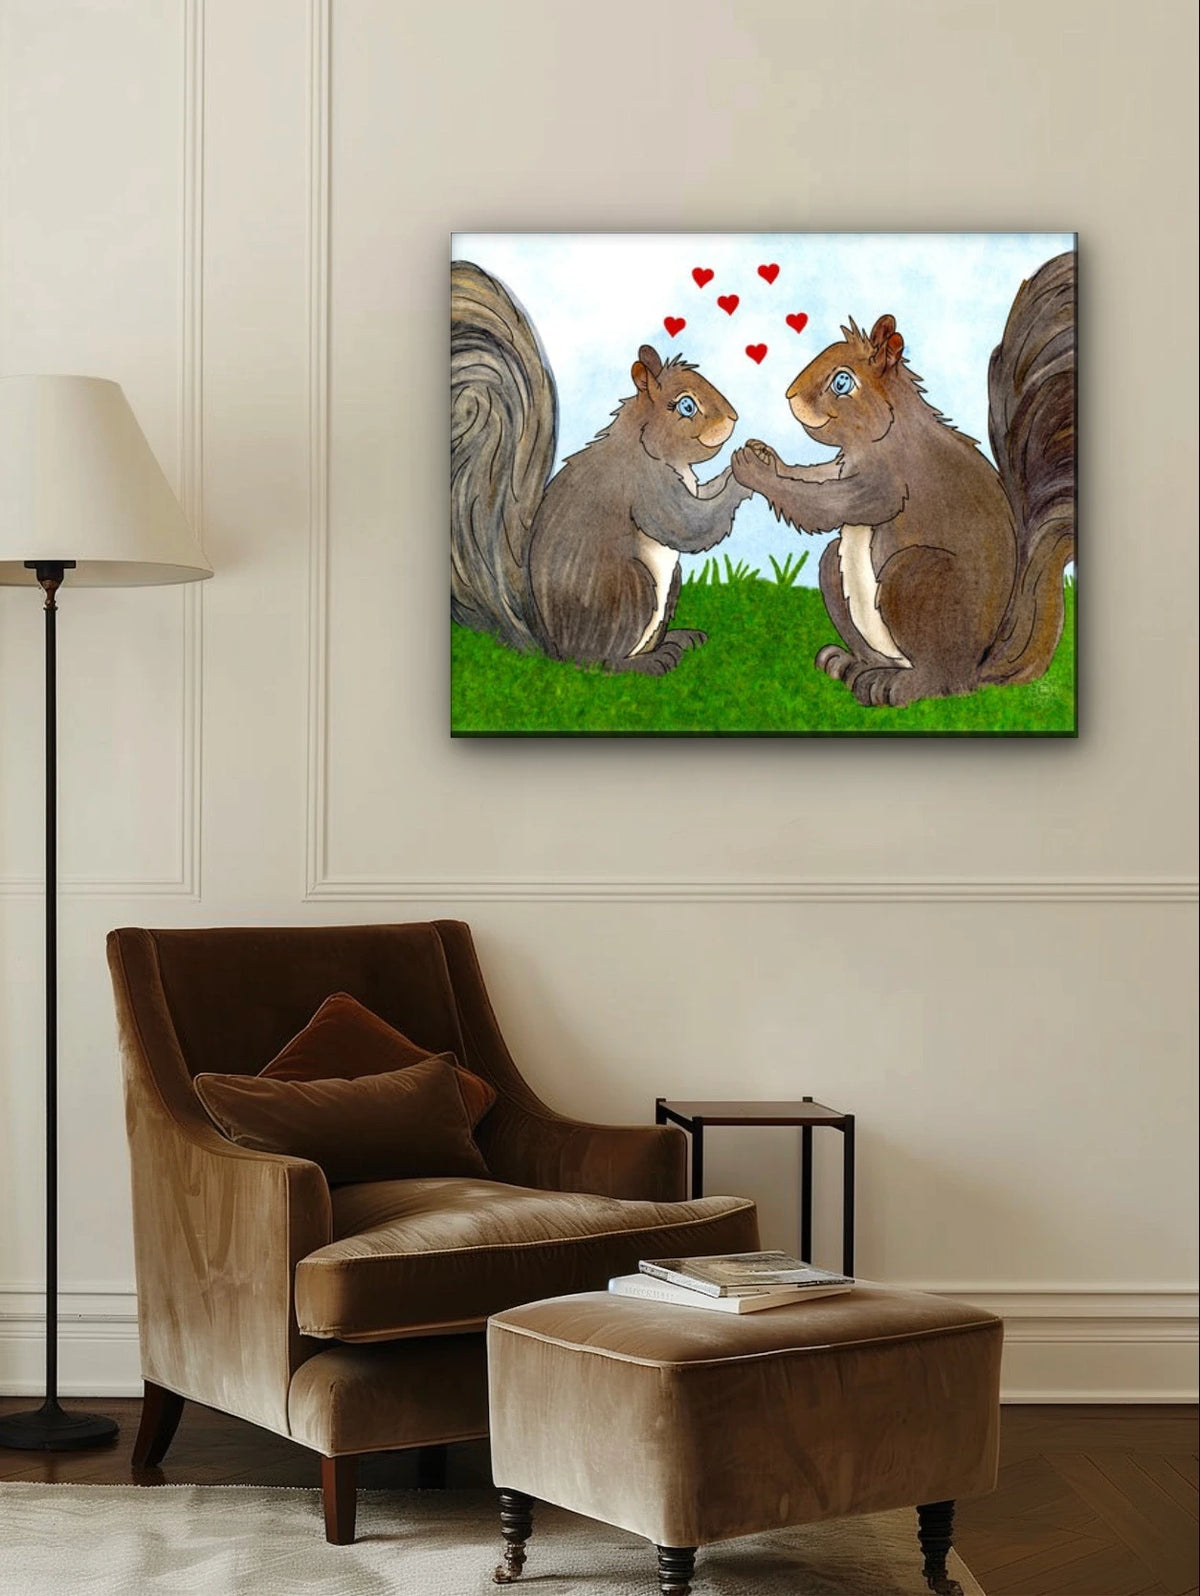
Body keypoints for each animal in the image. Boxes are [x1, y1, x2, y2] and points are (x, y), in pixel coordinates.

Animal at [451, 261, 752, 674]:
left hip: (668, 583)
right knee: (599, 664)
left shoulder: (688, 482)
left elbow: (703, 498)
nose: (734, 418)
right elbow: (688, 525)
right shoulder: (645, 484)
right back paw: (648, 663)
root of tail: (550, 649)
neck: (647, 443)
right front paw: (743, 473)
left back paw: (678, 639)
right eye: (686, 406)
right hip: (629, 588)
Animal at [729, 251, 1075, 708]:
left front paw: (753, 469)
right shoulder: (841, 464)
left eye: (842, 381)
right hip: (837, 572)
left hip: (914, 577)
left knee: (944, 681)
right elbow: (816, 477)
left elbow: (827, 505)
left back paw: (899, 686)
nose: (789, 395)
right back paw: (852, 665)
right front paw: (765, 453)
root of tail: (983, 665)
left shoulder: (890, 482)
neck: (882, 435)